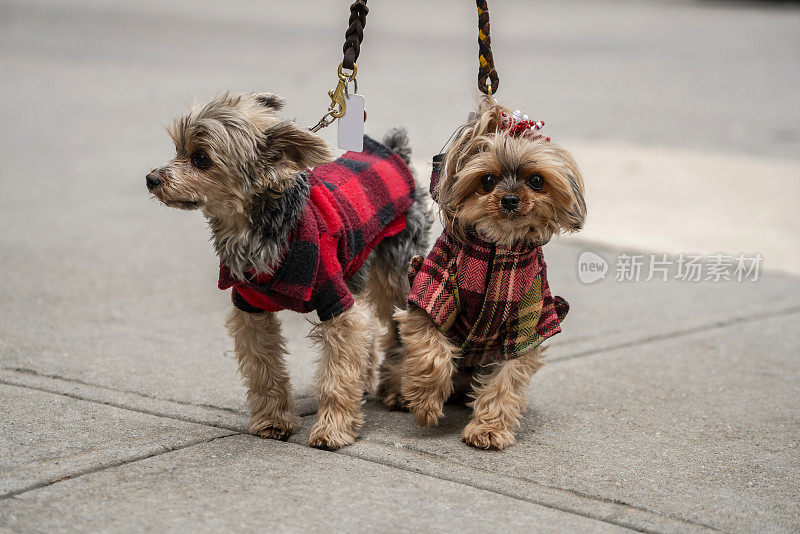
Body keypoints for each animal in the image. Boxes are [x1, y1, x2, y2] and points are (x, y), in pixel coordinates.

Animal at [146, 93, 428, 452]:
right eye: (177, 149)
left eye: (200, 159)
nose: (151, 178)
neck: (255, 232)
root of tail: (392, 151)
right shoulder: (250, 307)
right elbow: (264, 369)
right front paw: (272, 421)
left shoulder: (337, 301)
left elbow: (337, 372)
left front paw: (332, 430)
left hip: (397, 267)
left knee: (398, 326)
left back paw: (398, 391)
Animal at [378, 99, 584, 452]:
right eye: (487, 180)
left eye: (537, 181)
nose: (510, 199)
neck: (496, 247)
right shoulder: (432, 292)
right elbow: (433, 353)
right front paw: (425, 402)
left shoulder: (526, 324)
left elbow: (505, 381)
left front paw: (489, 429)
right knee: (397, 356)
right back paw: (399, 392)